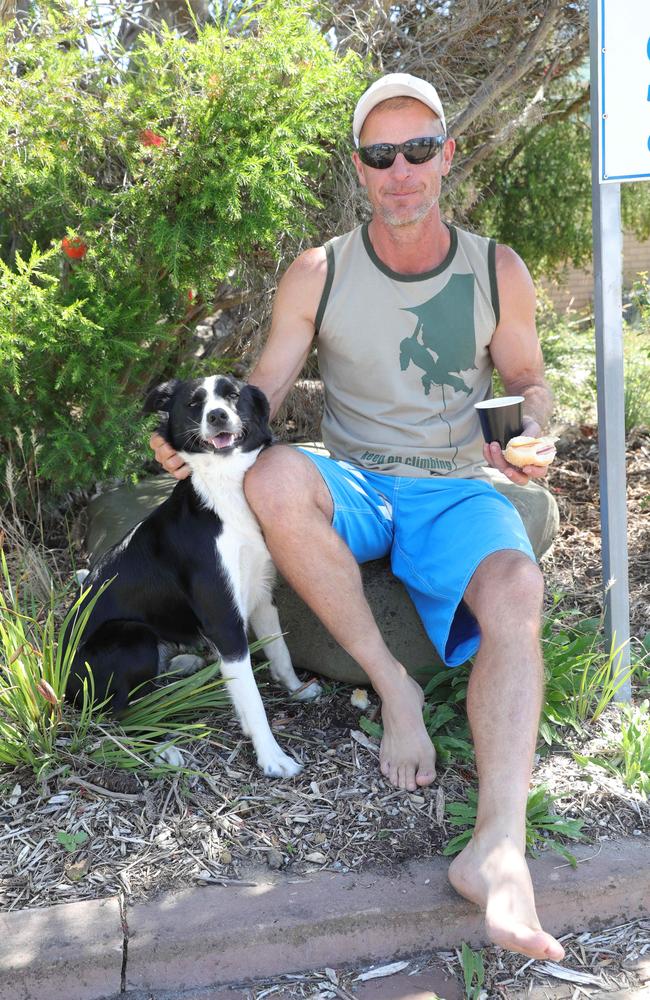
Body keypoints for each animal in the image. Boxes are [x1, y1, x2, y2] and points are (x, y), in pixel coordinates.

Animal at [66, 376, 318, 772]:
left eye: (233, 395)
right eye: (194, 404)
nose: (217, 416)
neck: (224, 489)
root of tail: (59, 681)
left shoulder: (261, 594)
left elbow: (280, 651)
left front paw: (296, 689)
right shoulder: (223, 618)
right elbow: (252, 696)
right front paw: (272, 757)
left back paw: (183, 665)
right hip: (132, 635)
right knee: (120, 711)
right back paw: (161, 746)